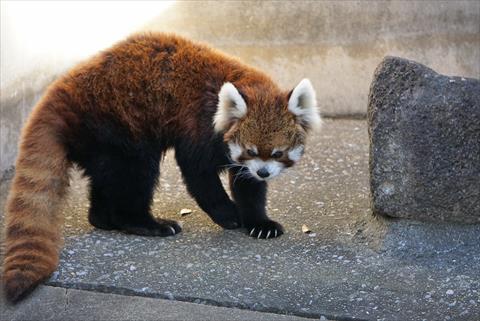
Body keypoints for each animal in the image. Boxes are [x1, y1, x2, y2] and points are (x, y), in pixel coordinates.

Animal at [3, 33, 320, 302]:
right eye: (251, 150)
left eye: (277, 153)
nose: (263, 172)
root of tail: (60, 92)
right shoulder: (198, 124)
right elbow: (198, 175)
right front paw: (229, 215)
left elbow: (247, 185)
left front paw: (259, 222)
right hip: (116, 123)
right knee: (136, 173)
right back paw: (145, 223)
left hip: (99, 139)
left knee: (107, 176)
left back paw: (103, 218)